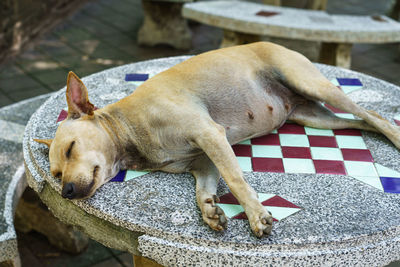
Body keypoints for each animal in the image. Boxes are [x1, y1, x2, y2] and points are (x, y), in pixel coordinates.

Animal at [35, 42, 400, 239]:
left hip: (314, 85)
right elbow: (203, 190)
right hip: (314, 116)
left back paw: (395, 135)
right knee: (363, 122)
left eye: (71, 148)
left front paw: (255, 214)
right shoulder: (203, 161)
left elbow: (235, 178)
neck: (131, 131)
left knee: (374, 115)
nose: (67, 191)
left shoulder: (210, 134)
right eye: (56, 174)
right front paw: (210, 210)